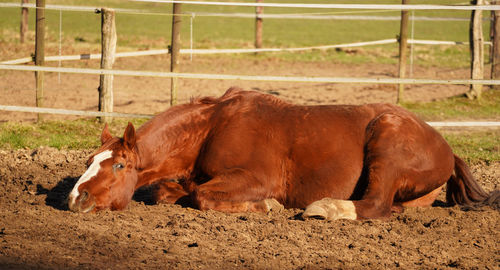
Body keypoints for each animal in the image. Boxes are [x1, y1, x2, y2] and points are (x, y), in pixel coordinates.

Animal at [68, 87, 494, 220]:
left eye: (119, 164)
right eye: (89, 162)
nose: (76, 197)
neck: (212, 127)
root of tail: (446, 147)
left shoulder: (255, 178)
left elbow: (202, 196)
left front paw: (268, 205)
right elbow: (169, 191)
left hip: (386, 140)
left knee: (374, 205)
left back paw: (325, 208)